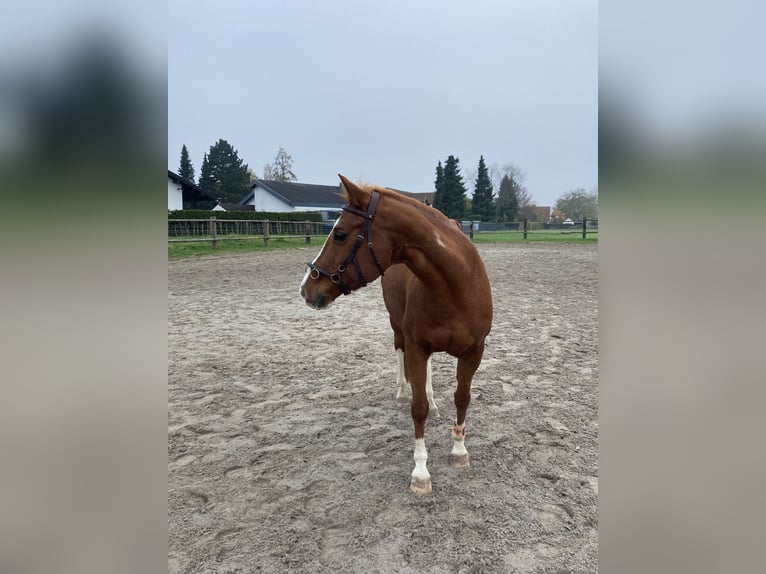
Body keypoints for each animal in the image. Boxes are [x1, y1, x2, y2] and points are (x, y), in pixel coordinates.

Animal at [299, 174, 493, 494]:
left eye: (339, 234)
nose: (307, 288)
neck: (454, 286)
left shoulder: (474, 351)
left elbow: (462, 398)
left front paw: (459, 451)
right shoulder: (416, 346)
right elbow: (418, 408)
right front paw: (421, 473)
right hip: (397, 327)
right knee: (399, 352)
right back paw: (403, 392)